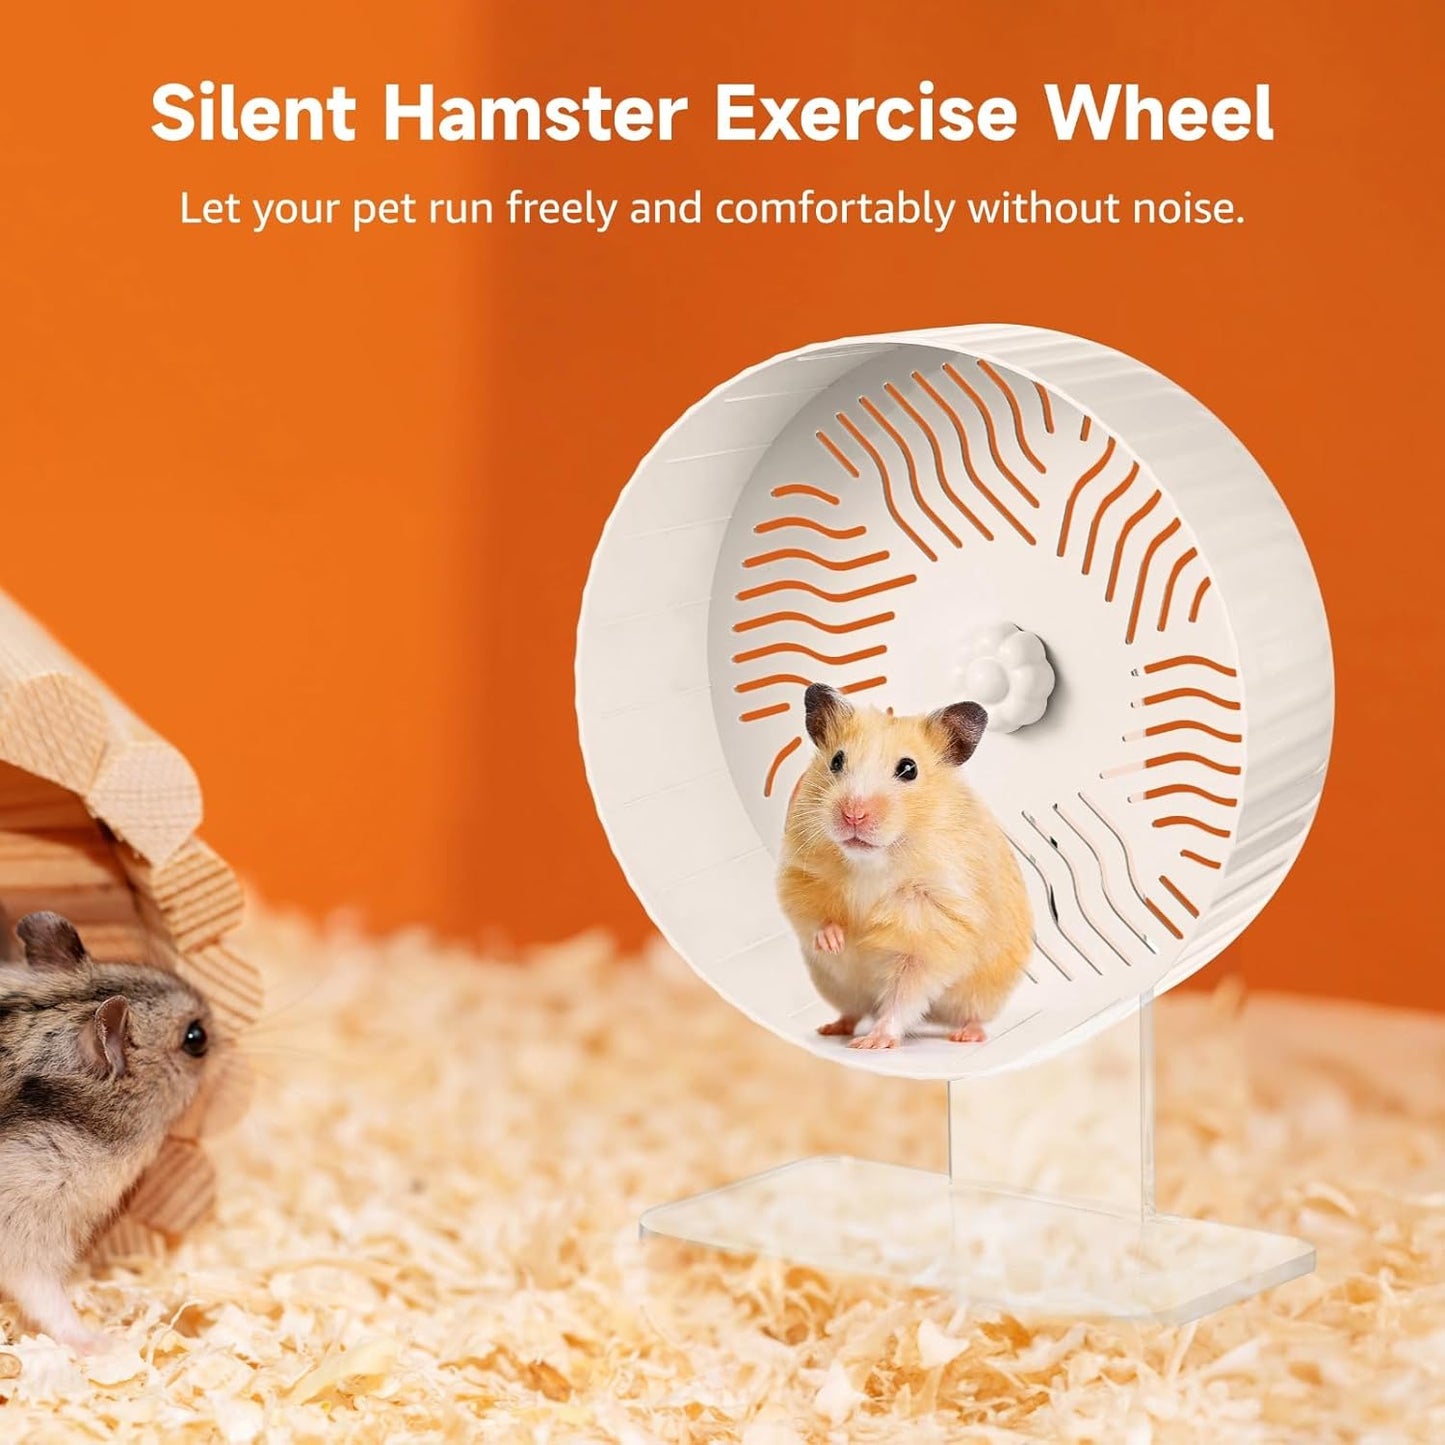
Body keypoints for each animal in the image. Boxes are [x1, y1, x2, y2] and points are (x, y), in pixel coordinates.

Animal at [777, 685, 1032, 1050]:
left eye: (909, 769)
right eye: (837, 761)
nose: (853, 814)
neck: (872, 861)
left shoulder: (933, 929)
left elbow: (904, 994)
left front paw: (873, 1043)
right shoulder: (799, 874)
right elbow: (812, 915)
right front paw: (836, 942)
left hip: (984, 992)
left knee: (970, 1014)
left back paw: (966, 1035)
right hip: (837, 987)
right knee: (853, 1010)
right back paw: (832, 1028)